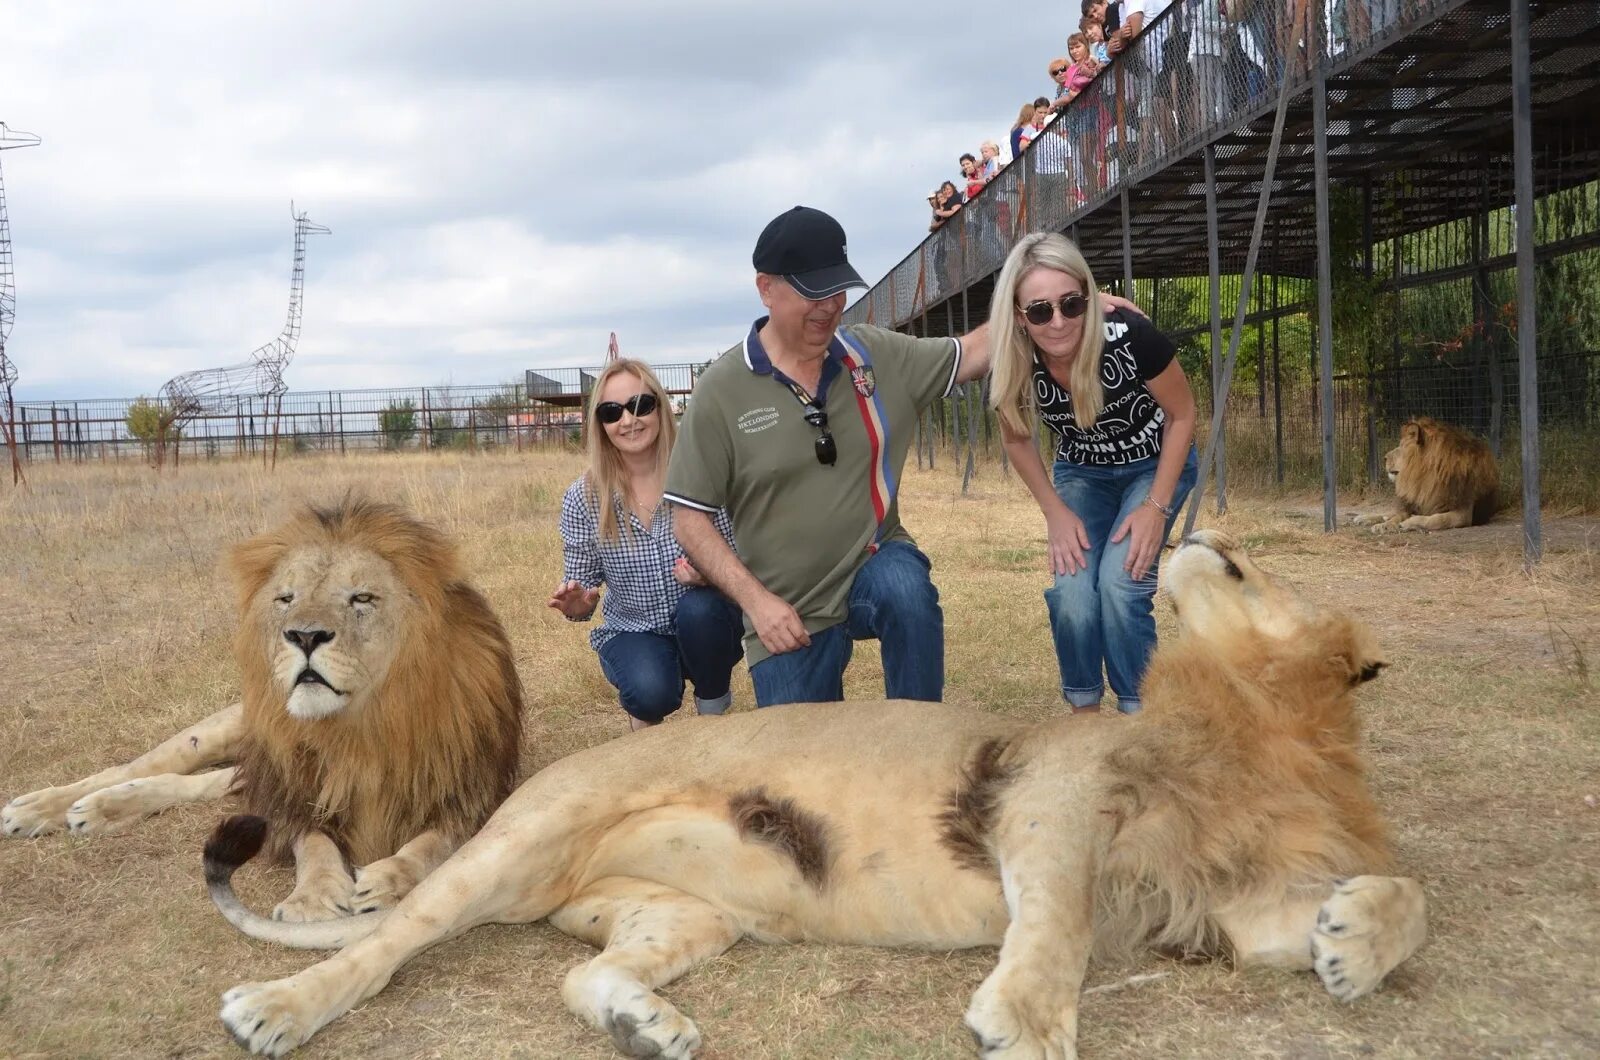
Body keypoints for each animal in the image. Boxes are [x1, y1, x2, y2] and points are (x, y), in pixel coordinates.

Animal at [3, 499, 521, 922]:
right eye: (286, 599)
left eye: (362, 598)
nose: (305, 636)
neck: (361, 725)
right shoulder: (293, 790)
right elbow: (313, 844)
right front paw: (312, 897)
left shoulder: (469, 792)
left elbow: (432, 846)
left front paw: (390, 880)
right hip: (238, 732)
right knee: (145, 765)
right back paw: (50, 807)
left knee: (201, 784)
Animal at [203, 531, 1427, 1060]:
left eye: (1246, 569)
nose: (1197, 529)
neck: (1256, 729)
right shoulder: (1051, 796)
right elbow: (1063, 924)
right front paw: (1026, 1025)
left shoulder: (1221, 906)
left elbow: (1404, 891)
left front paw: (1349, 948)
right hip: (521, 837)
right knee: (386, 941)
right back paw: (278, 1009)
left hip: (683, 914)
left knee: (576, 972)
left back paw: (646, 1026)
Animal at [1350, 416, 1497, 531]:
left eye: (1401, 446)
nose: (1384, 457)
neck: (1427, 478)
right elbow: (1398, 515)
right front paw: (1385, 525)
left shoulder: (1464, 513)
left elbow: (1437, 519)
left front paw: (1408, 522)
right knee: (1389, 513)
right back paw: (1362, 518)